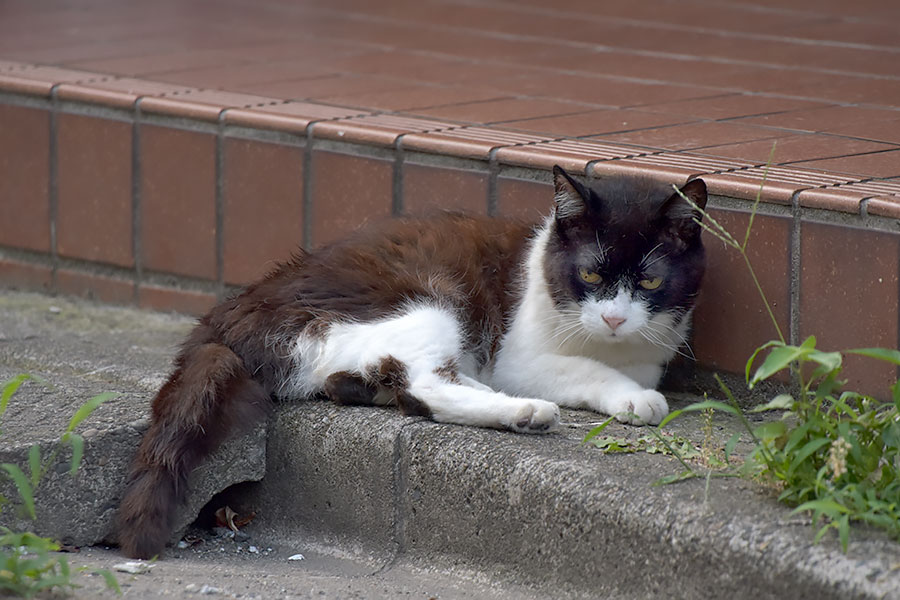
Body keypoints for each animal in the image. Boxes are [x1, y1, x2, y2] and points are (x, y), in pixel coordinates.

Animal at [116, 164, 712, 556]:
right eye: (589, 273)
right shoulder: (519, 356)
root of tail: (228, 314)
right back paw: (524, 412)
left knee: (367, 380)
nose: (613, 318)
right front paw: (635, 399)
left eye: (650, 282)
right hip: (426, 301)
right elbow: (584, 369)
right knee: (422, 387)